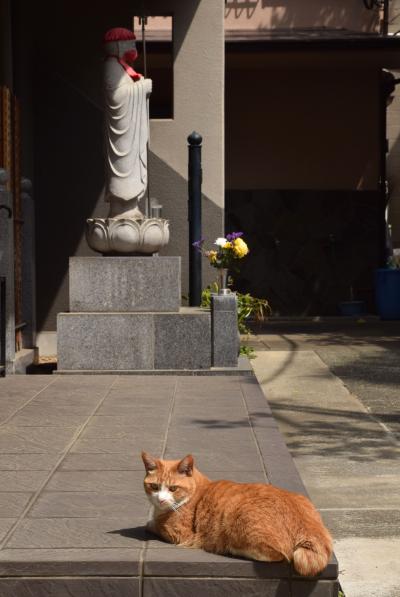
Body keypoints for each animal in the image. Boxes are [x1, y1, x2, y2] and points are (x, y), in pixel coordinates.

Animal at [142, 452, 332, 576]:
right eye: (154, 486)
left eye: (173, 488)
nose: (160, 500)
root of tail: (308, 525)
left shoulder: (179, 533)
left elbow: (153, 524)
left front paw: (151, 522)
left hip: (239, 518)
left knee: (280, 555)